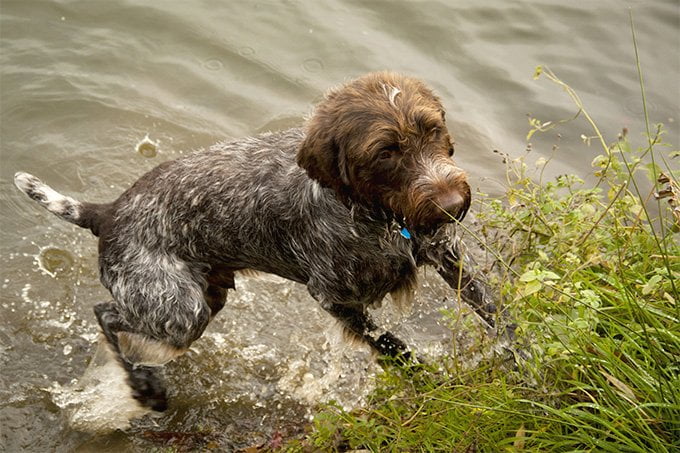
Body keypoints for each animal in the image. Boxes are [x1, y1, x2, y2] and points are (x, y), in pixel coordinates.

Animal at [13, 69, 496, 410]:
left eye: (432, 129)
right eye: (385, 151)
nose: (453, 203)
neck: (377, 215)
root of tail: (108, 212)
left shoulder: (445, 251)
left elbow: (492, 308)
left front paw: (511, 353)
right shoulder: (332, 297)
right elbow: (391, 345)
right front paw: (428, 381)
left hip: (204, 301)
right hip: (178, 311)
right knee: (106, 314)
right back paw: (144, 385)